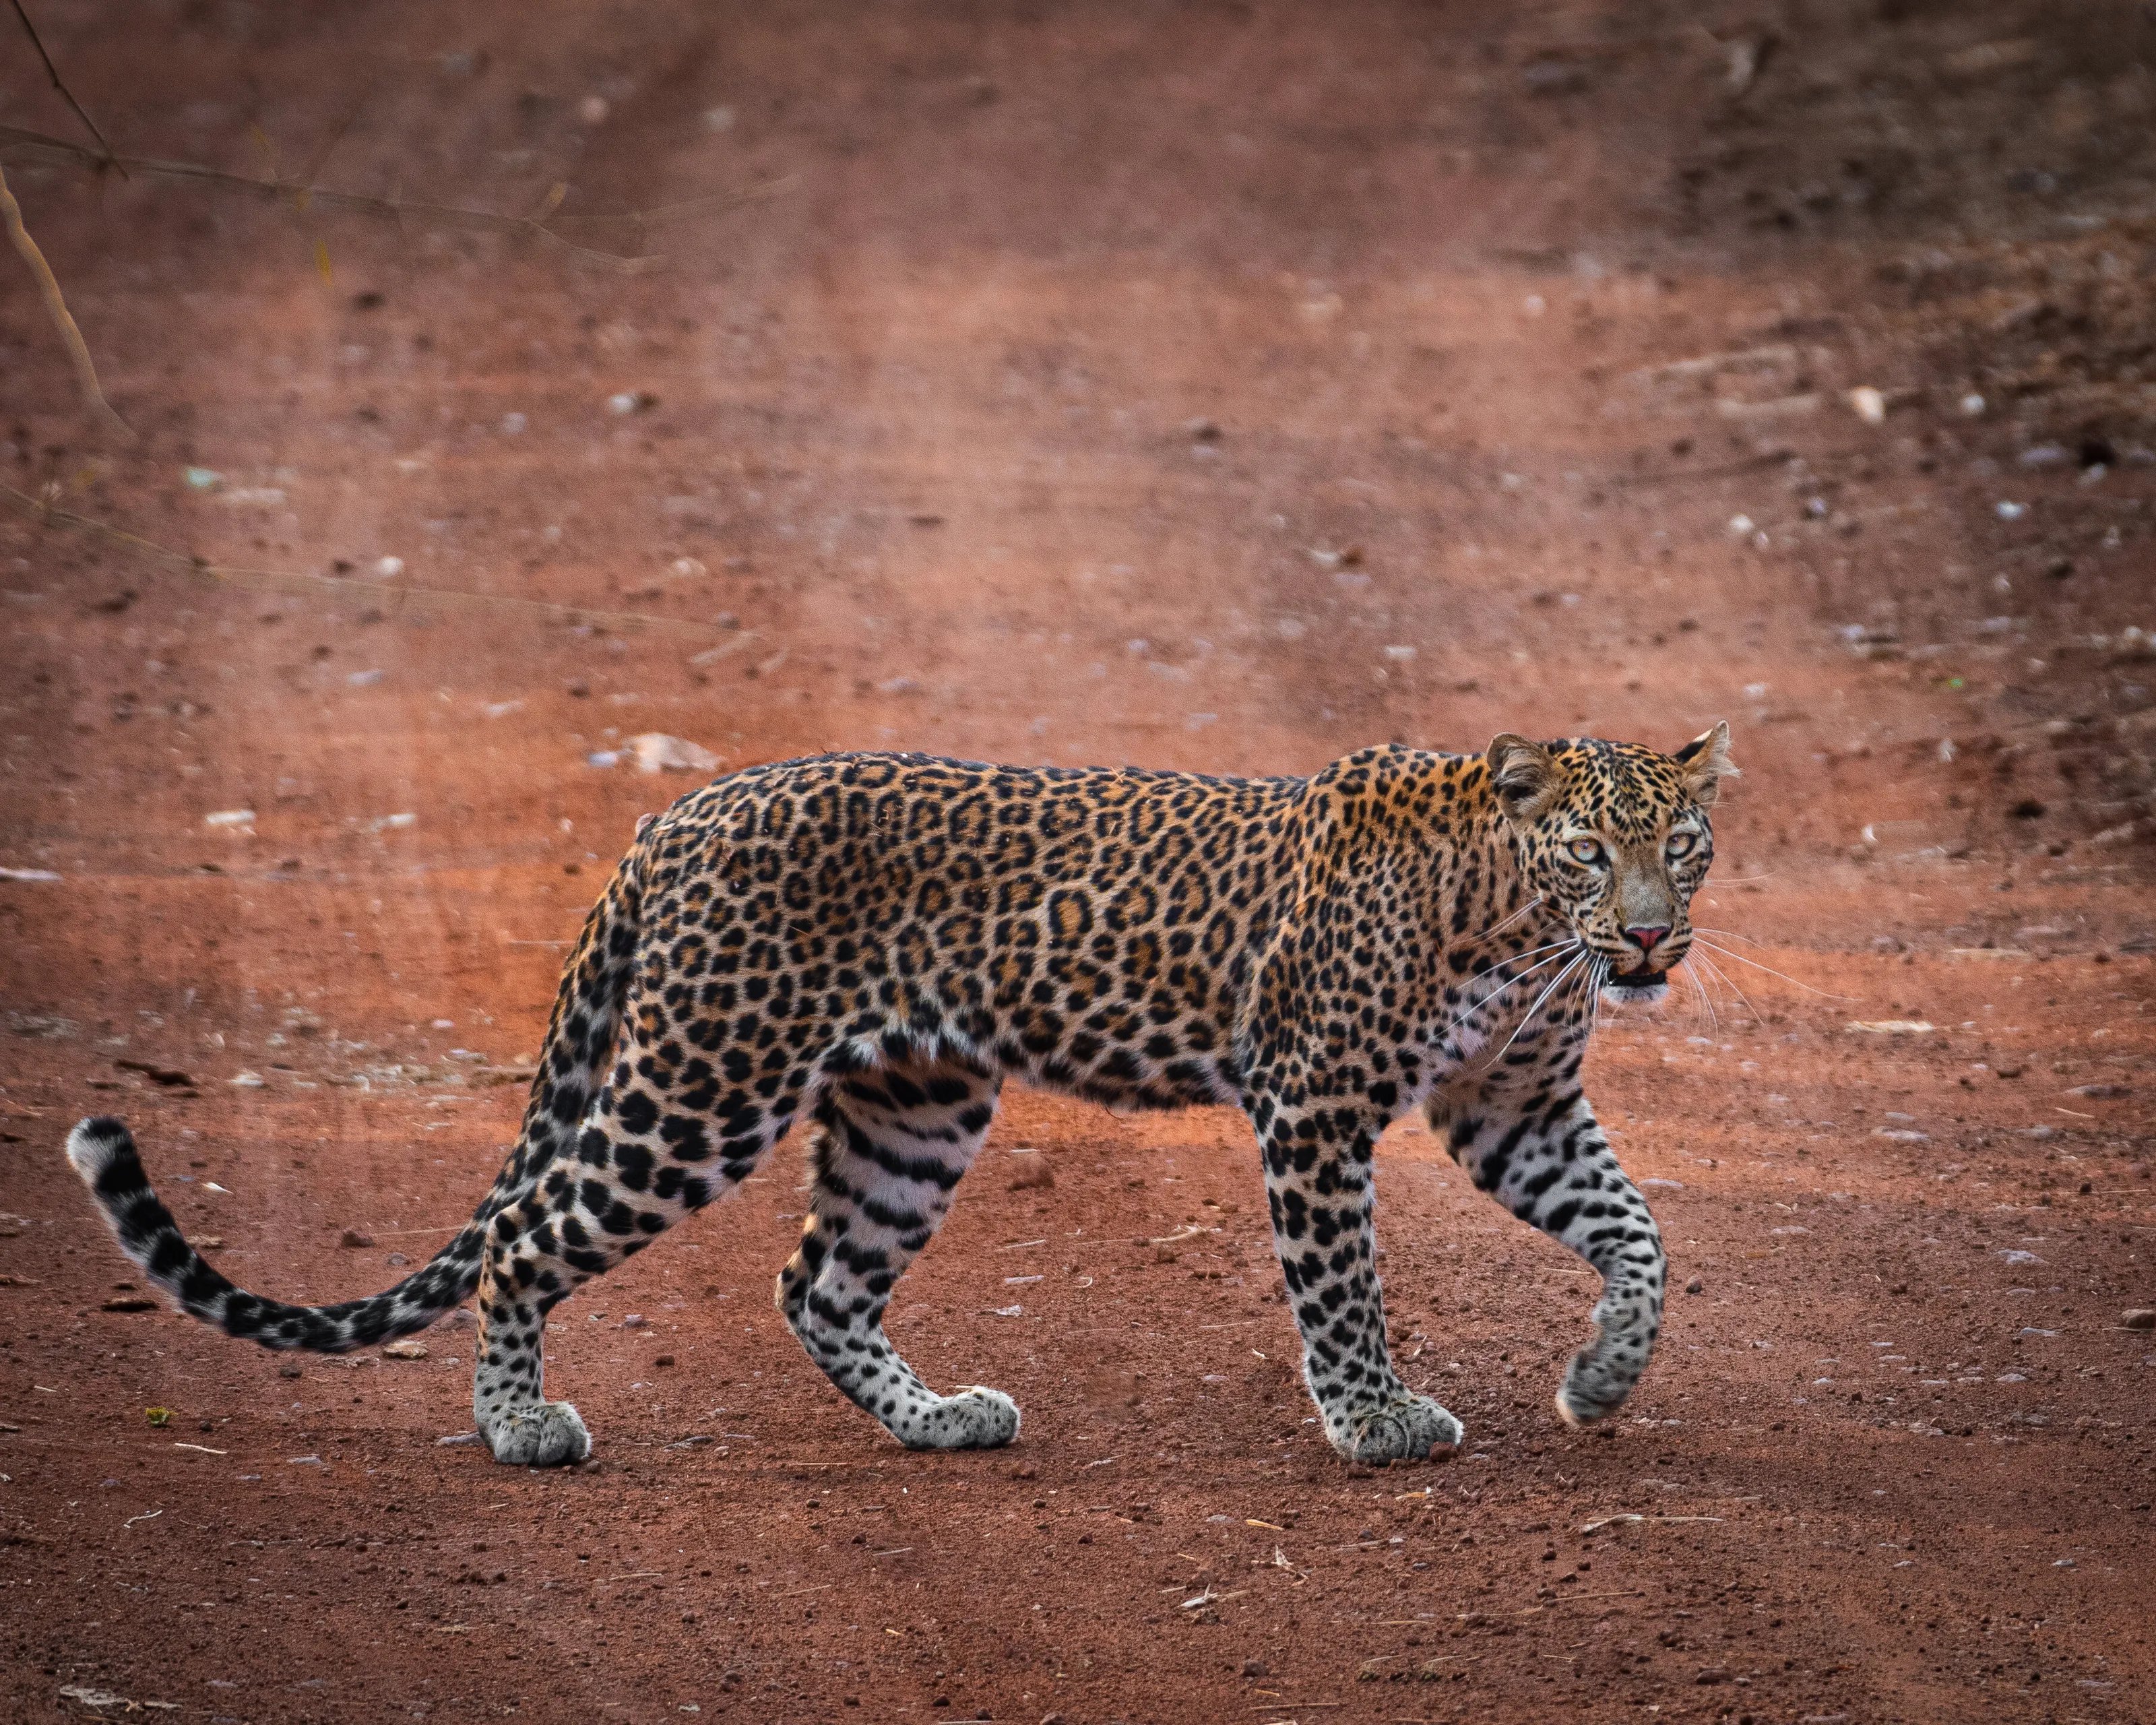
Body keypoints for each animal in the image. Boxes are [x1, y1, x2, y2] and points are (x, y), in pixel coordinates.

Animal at [67, 723, 1735, 1469]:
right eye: (1590, 849)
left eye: (1683, 843)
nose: (1651, 938)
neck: (1513, 926)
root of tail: (672, 811)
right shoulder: (1317, 1103)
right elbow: (1342, 1284)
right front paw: (1376, 1415)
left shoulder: (1513, 1110)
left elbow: (1640, 1235)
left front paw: (1602, 1377)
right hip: (700, 1082)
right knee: (531, 1235)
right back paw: (519, 1422)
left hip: (913, 1106)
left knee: (817, 1279)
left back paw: (937, 1416)